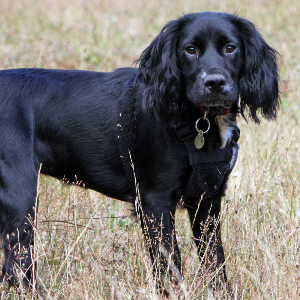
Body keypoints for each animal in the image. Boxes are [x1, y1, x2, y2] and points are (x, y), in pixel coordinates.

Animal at [0, 11, 278, 292]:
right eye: (190, 50)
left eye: (230, 48)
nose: (215, 83)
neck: (197, 119)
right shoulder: (155, 201)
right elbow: (169, 266)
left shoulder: (207, 199)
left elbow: (215, 260)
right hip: (20, 192)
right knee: (16, 264)